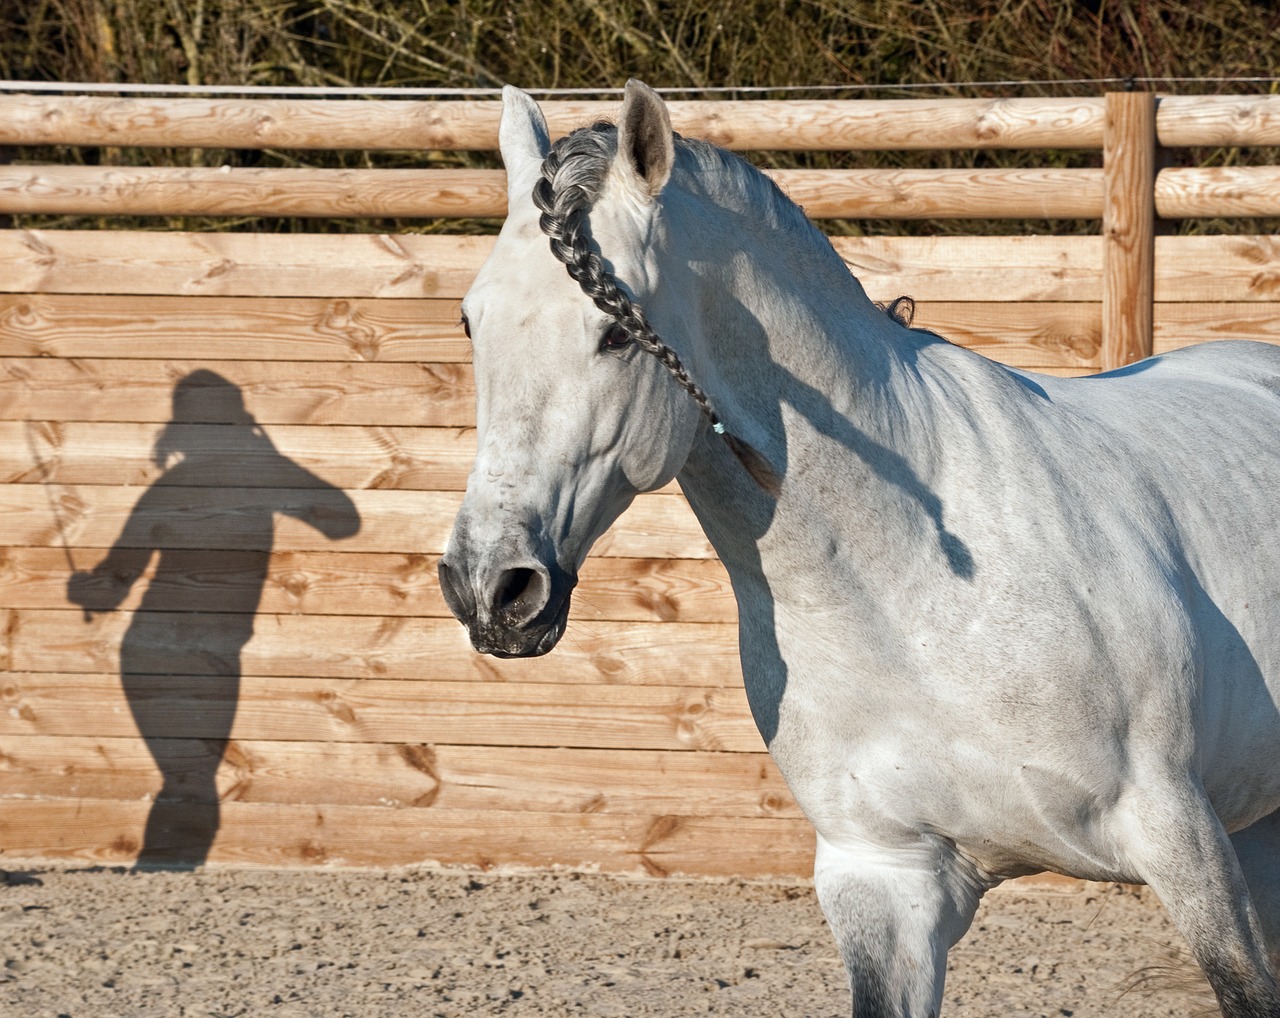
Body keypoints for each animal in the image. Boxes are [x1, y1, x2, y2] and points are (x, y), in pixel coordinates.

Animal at [442, 81, 1280, 1018]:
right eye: (471, 321)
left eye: (615, 332)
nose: (492, 586)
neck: (911, 591)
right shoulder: (885, 880)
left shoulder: (1181, 843)